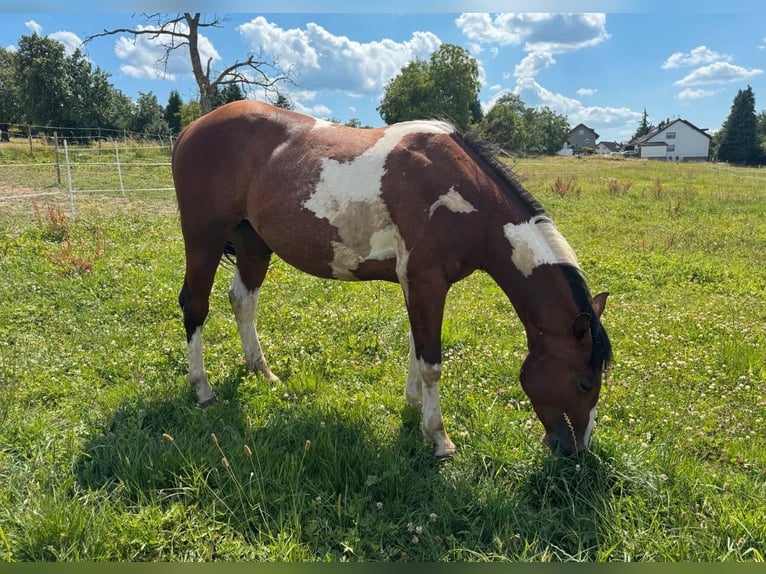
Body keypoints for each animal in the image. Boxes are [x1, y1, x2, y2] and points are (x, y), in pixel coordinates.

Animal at [172, 100, 612, 457]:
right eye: (584, 384)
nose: (576, 451)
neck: (465, 196)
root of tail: (191, 129)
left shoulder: (418, 285)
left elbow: (418, 347)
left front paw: (414, 404)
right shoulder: (426, 281)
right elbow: (432, 361)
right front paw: (439, 437)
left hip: (253, 243)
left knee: (242, 300)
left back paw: (262, 372)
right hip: (204, 238)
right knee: (195, 305)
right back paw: (203, 389)